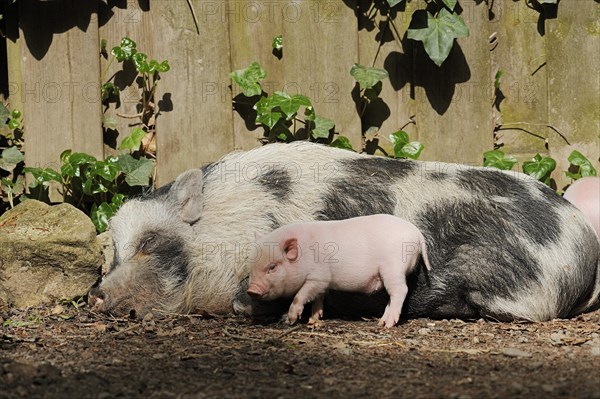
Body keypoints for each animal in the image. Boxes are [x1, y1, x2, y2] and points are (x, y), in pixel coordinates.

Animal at [247, 216, 432, 328]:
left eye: (272, 267)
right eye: (251, 264)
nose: (251, 290)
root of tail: (418, 234)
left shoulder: (319, 277)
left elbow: (301, 295)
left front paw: (291, 319)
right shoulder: (323, 284)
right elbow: (318, 297)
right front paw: (315, 318)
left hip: (393, 268)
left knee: (400, 290)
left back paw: (387, 324)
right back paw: (380, 322)